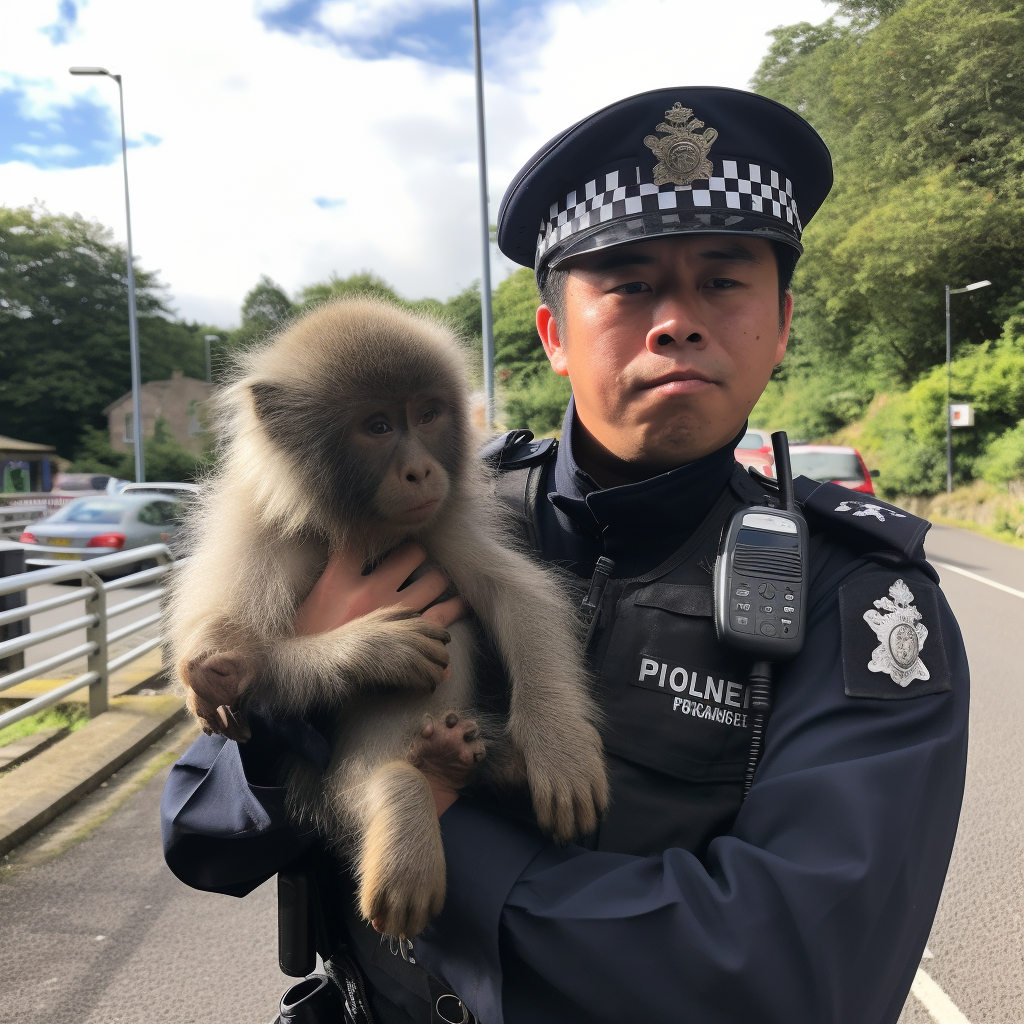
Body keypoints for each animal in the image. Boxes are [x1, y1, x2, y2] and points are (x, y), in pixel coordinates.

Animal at [167, 294, 606, 937]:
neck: (362, 527)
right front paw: (367, 650)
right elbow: (226, 639)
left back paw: (463, 761)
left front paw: (559, 745)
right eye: (377, 426)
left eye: (426, 415)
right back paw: (401, 790)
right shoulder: (263, 528)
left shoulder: (439, 522)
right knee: (358, 784)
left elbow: (518, 595)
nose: (420, 470)